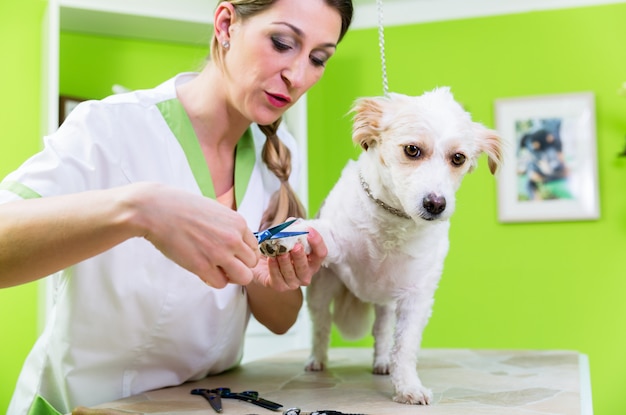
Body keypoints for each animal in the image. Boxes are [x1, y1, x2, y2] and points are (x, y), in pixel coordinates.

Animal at [286, 88, 500, 406]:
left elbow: (405, 348)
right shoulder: (334, 241)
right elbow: (313, 229)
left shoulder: (416, 298)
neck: (393, 218)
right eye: (412, 150)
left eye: (458, 158)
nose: (436, 204)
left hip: (385, 303)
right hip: (322, 292)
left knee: (382, 332)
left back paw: (381, 362)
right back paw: (317, 360)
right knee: (322, 327)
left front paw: (408, 386)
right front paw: (285, 234)